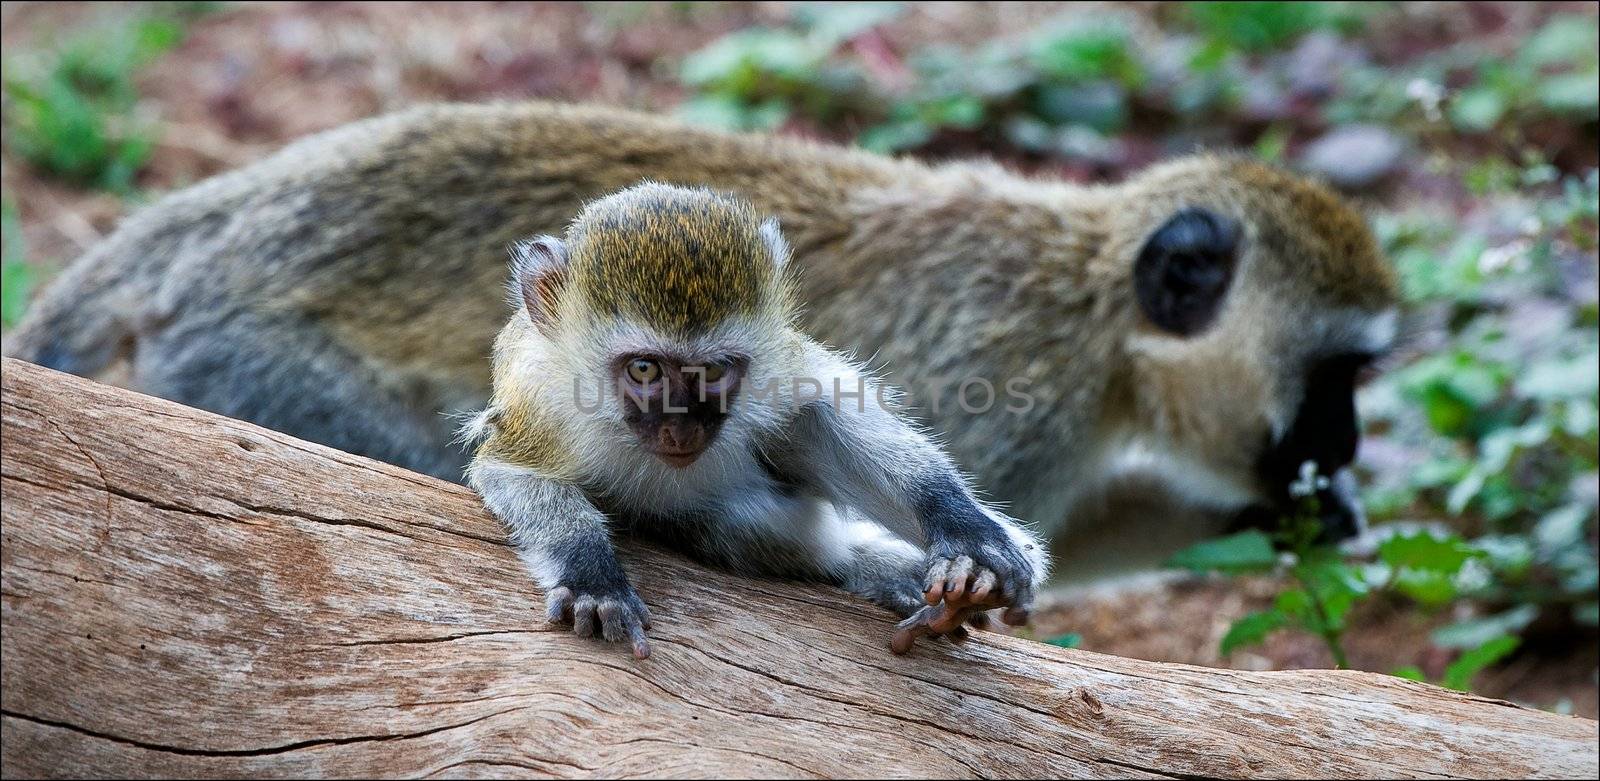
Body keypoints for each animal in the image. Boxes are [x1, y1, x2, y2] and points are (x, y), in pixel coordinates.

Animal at [460, 184, 1049, 659]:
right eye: (645, 369)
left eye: (715, 371)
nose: (683, 429)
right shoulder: (537, 401)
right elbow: (509, 473)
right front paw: (592, 575)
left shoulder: (778, 362)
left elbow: (824, 406)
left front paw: (968, 534)